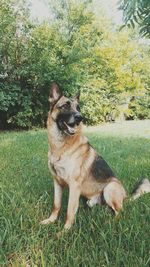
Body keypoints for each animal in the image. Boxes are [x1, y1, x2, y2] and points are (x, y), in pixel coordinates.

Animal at [40, 82, 150, 230]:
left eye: (78, 108)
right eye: (65, 106)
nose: (80, 117)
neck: (61, 147)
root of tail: (125, 197)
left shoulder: (74, 186)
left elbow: (70, 211)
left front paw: (64, 231)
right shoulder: (57, 183)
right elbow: (56, 205)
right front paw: (50, 221)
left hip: (110, 188)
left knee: (119, 212)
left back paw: (111, 223)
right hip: (91, 201)